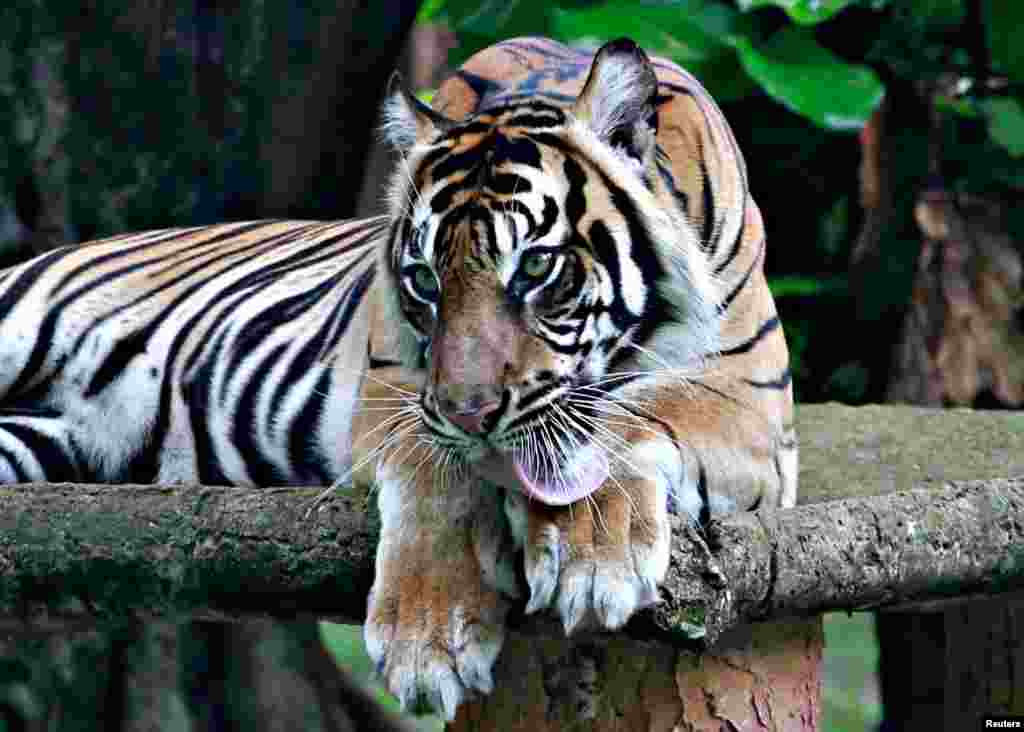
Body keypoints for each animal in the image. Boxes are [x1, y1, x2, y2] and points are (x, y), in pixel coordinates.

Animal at [0, 36, 795, 721]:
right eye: (423, 281)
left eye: (536, 267)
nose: (472, 412)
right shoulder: (392, 392)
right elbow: (438, 475)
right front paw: (430, 637)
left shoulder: (749, 401)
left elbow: (628, 413)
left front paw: (594, 556)